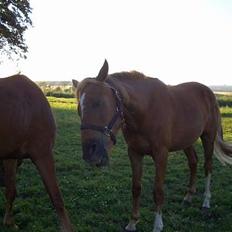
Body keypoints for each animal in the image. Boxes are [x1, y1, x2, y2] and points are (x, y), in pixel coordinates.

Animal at [73, 60, 232, 232]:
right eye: (79, 110)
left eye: (98, 102)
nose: (90, 154)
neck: (145, 110)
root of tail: (210, 93)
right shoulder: (134, 153)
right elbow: (136, 188)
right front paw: (132, 222)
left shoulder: (161, 154)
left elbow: (158, 191)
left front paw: (157, 225)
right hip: (186, 141)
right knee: (193, 162)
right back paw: (188, 196)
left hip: (208, 137)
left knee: (207, 166)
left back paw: (206, 201)